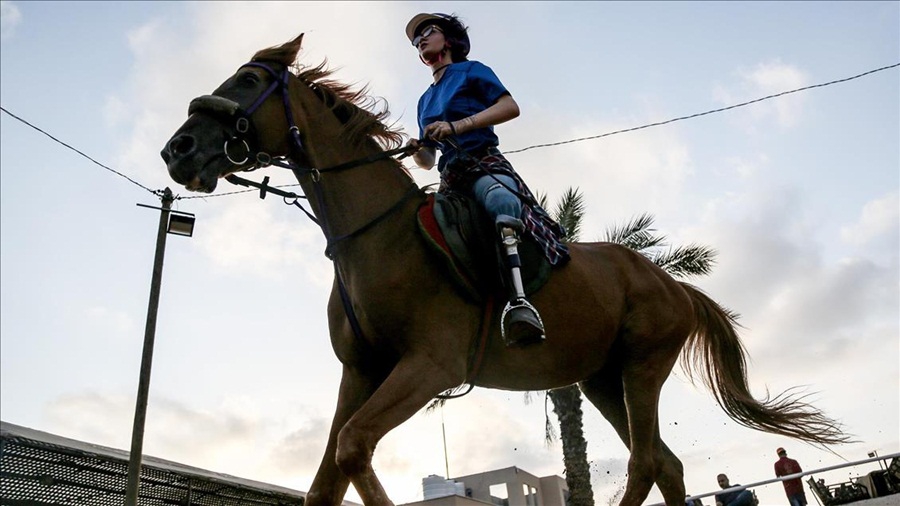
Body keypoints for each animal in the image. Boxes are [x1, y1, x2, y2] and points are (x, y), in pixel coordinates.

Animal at [160, 33, 844, 504]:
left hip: (643, 366)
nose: (178, 149)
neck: (375, 235)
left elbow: (353, 449)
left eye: (249, 78)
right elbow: (326, 480)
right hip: (603, 381)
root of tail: (670, 281)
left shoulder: (429, 366)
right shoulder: (361, 372)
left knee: (647, 463)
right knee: (667, 465)